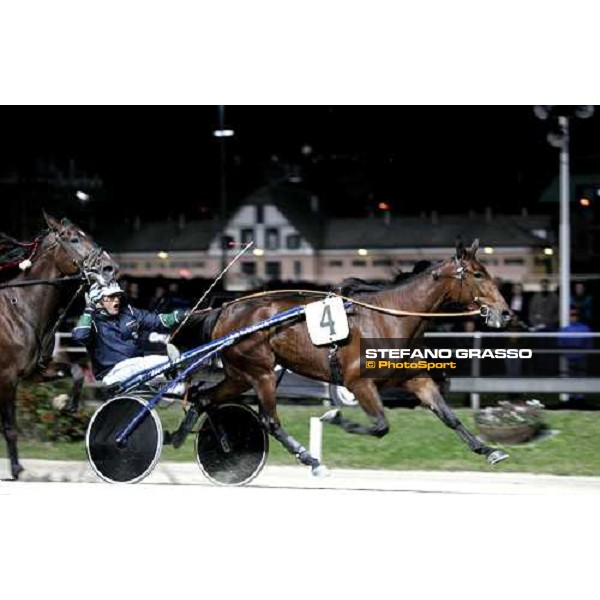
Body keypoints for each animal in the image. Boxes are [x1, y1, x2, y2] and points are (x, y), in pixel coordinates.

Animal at [0, 213, 118, 480]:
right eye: (74, 239)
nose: (110, 267)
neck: (21, 308)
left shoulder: (35, 371)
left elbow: (75, 373)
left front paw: (64, 402)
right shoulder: (7, 377)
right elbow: (10, 427)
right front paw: (17, 469)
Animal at [178, 238, 510, 474]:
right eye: (478, 274)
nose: (506, 312)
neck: (390, 319)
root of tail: (225, 309)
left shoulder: (415, 378)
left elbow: (448, 416)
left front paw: (489, 450)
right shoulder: (358, 382)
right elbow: (380, 426)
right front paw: (335, 417)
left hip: (240, 375)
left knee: (203, 397)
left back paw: (200, 438)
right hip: (260, 373)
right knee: (269, 420)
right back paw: (310, 459)